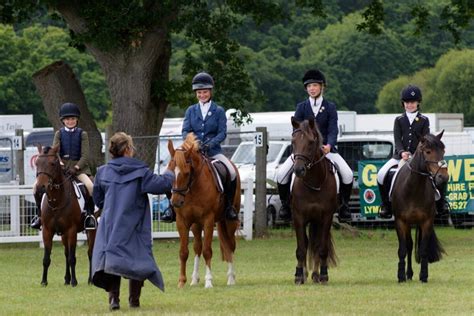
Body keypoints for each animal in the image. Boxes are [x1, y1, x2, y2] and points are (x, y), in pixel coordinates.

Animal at [34, 145, 96, 286]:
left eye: (52, 163)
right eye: (37, 163)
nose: (40, 188)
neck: (57, 201)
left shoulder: (71, 230)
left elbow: (73, 257)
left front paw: (74, 281)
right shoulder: (47, 231)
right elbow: (47, 258)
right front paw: (44, 281)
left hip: (93, 230)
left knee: (90, 252)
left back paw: (90, 280)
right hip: (63, 234)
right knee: (66, 253)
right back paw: (67, 279)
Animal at [168, 133, 241, 288]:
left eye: (187, 172)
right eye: (170, 171)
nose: (176, 202)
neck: (193, 188)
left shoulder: (208, 220)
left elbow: (208, 251)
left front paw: (208, 281)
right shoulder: (182, 221)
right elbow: (184, 252)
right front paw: (181, 281)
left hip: (229, 221)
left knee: (230, 245)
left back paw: (231, 279)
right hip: (196, 225)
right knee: (197, 248)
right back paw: (194, 279)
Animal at [288, 117, 336, 286]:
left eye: (310, 142)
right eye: (293, 141)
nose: (298, 170)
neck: (314, 183)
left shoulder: (326, 217)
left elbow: (321, 248)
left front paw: (323, 275)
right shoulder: (298, 217)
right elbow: (301, 249)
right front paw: (298, 275)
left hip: (317, 221)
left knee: (315, 244)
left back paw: (315, 274)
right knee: (308, 243)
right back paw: (305, 273)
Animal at [388, 131, 448, 284]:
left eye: (443, 151)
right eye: (428, 151)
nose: (443, 177)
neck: (413, 188)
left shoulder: (426, 222)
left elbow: (423, 249)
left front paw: (424, 276)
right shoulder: (400, 222)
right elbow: (403, 249)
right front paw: (401, 276)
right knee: (409, 246)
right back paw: (408, 274)